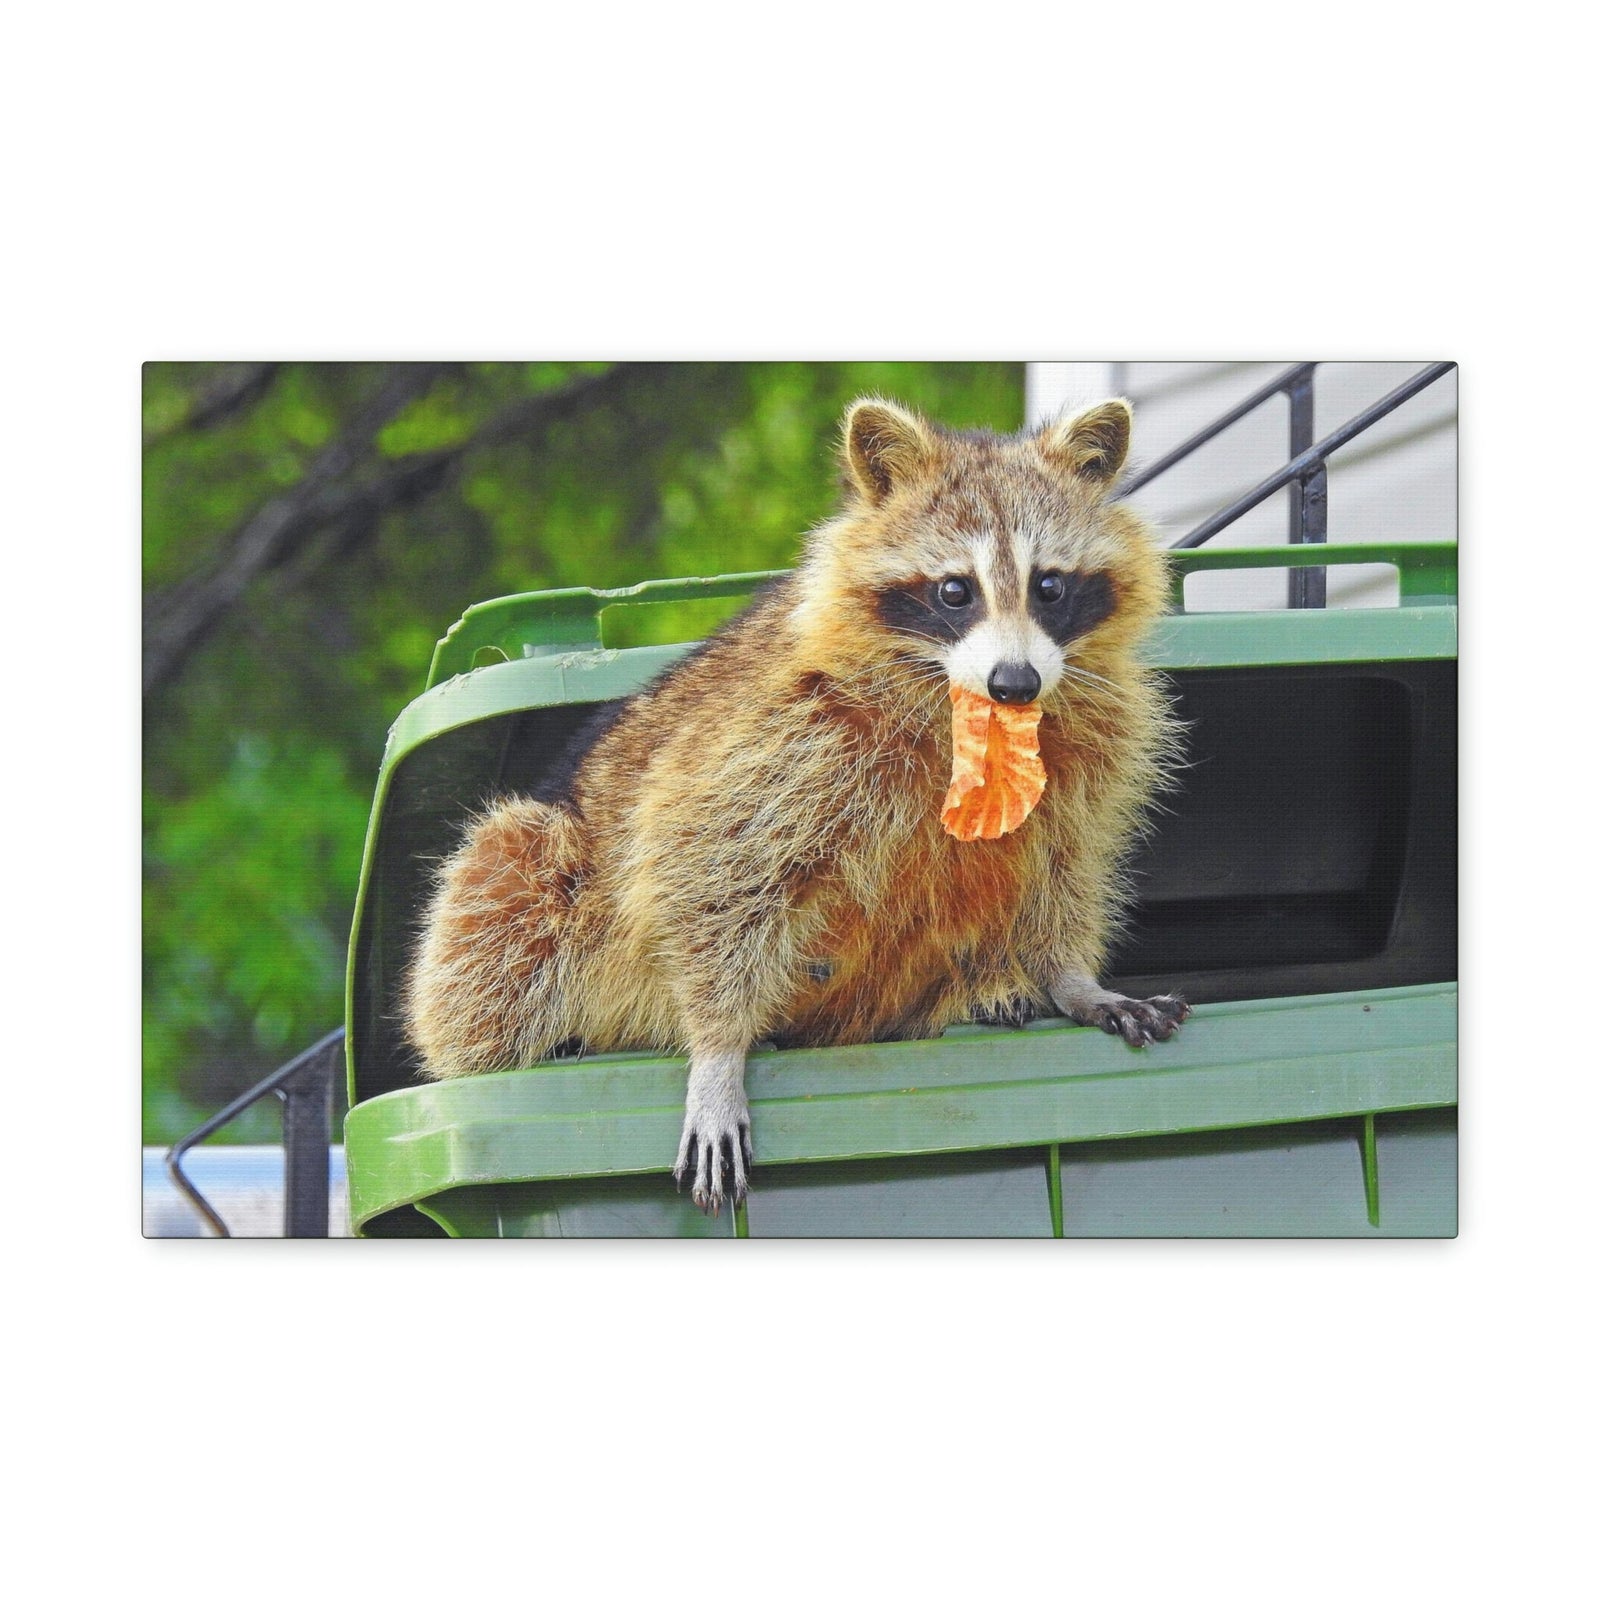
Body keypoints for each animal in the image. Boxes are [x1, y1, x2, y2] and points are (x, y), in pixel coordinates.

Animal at [405, 396, 1189, 1214]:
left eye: (1049, 586)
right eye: (955, 590)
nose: (1016, 683)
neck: (970, 710)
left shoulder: (1089, 747)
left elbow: (1062, 863)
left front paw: (1070, 977)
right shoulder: (781, 732)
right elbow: (699, 862)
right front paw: (717, 1051)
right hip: (541, 872)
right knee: (504, 885)